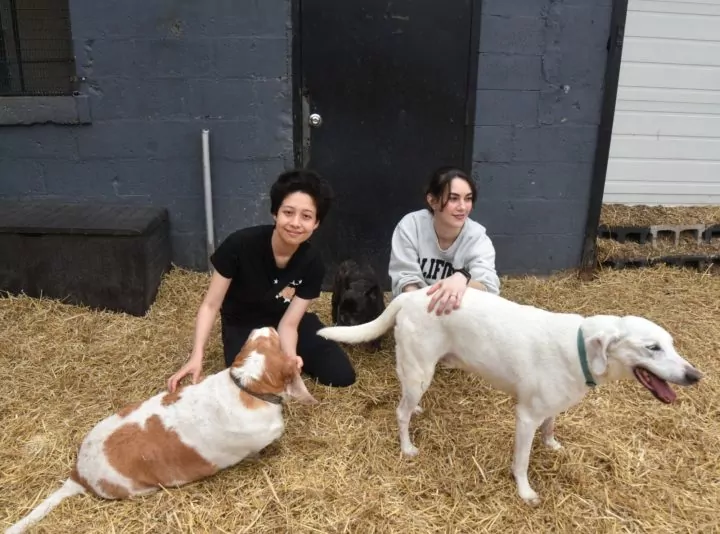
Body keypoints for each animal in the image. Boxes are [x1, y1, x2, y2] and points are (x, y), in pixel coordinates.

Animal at [316, 288, 704, 506]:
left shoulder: (551, 407)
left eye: (671, 345)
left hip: (418, 371)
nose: (695, 376)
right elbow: (522, 462)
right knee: (399, 413)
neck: (581, 348)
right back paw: (407, 446)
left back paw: (418, 409)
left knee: (407, 401)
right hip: (420, 369)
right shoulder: (525, 417)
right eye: (652, 348)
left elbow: (551, 425)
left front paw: (552, 444)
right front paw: (525, 492)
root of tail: (412, 295)